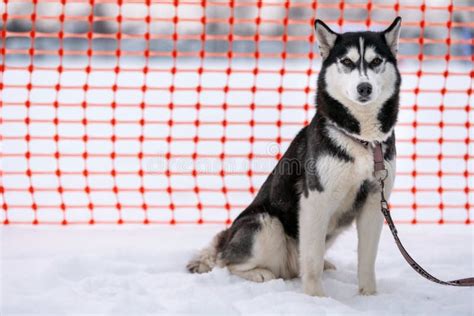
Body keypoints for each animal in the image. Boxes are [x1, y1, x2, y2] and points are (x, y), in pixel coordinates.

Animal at [187, 17, 402, 298]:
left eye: (376, 61)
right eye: (347, 61)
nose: (364, 87)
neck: (362, 140)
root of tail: (228, 237)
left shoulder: (374, 201)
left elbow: (366, 260)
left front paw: (369, 297)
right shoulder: (315, 200)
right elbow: (311, 261)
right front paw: (316, 299)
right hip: (266, 225)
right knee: (229, 262)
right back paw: (259, 272)